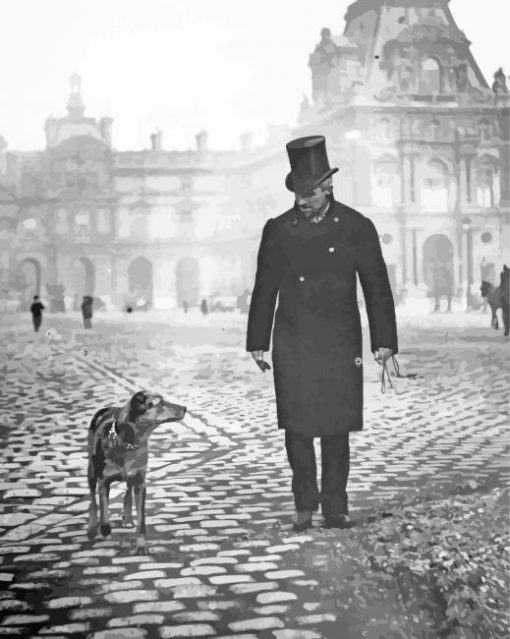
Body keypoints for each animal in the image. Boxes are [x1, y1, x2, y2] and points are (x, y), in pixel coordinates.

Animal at [87, 392, 187, 552]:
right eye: (160, 403)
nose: (185, 408)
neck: (128, 443)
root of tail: (107, 408)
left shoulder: (140, 482)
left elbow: (141, 519)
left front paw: (141, 545)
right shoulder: (103, 481)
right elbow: (103, 509)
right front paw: (105, 530)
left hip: (132, 476)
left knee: (128, 490)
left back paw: (127, 518)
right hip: (91, 470)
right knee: (92, 500)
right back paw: (92, 527)